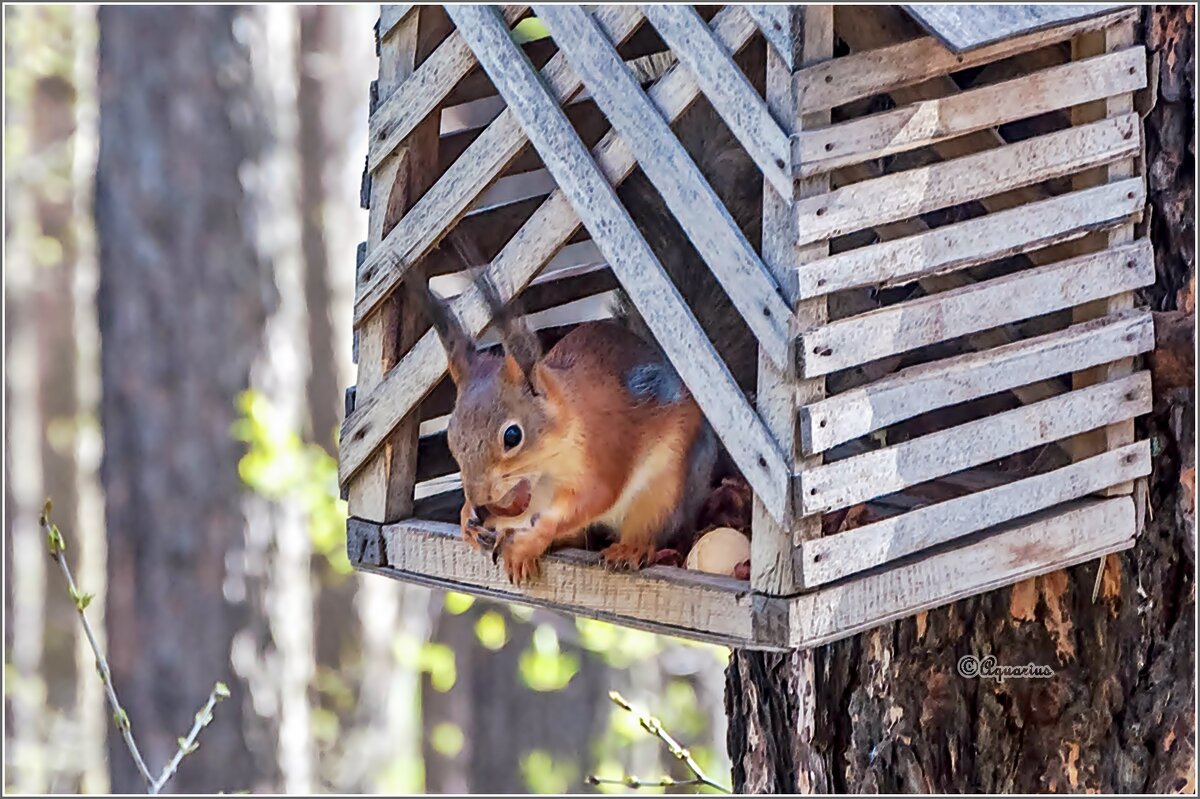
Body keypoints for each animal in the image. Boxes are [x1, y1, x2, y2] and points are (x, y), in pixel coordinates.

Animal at [415, 277, 710, 583]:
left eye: (512, 436)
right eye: (450, 438)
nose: (480, 500)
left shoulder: (607, 449)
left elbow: (593, 497)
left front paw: (529, 543)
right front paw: (467, 519)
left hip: (664, 493)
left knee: (647, 527)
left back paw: (629, 549)